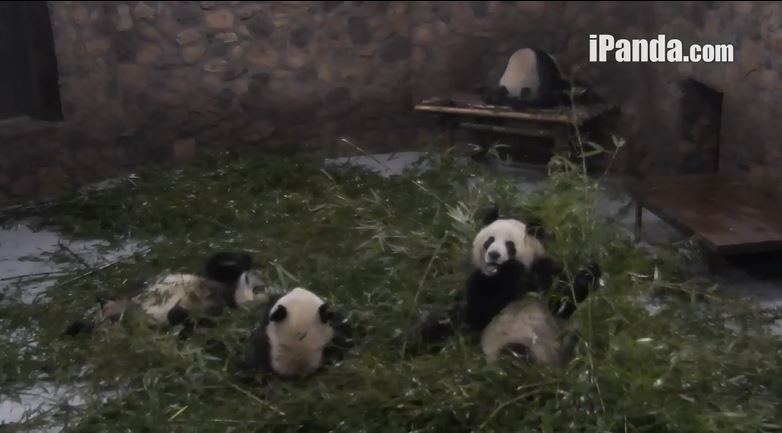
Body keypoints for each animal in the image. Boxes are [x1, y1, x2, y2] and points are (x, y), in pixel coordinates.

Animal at [465, 206, 602, 365]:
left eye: (509, 244)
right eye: (489, 240)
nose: (494, 254)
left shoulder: (545, 270)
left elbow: (561, 304)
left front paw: (588, 275)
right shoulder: (480, 280)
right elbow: (478, 315)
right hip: (503, 343)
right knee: (513, 354)